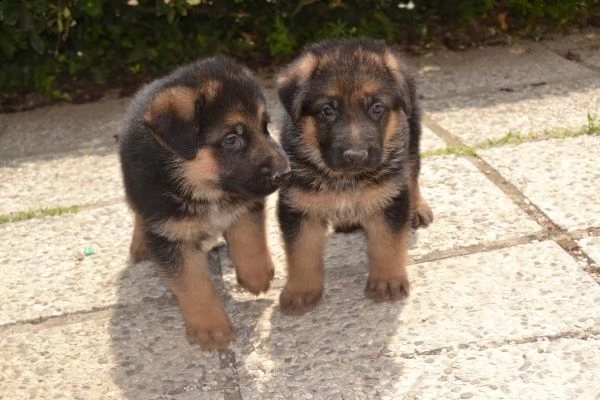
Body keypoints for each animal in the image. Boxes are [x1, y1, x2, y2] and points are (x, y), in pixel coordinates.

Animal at [118, 56, 290, 350]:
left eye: (265, 126)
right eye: (232, 139)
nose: (286, 172)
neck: (203, 188)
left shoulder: (245, 202)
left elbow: (249, 238)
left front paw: (255, 274)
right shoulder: (172, 236)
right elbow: (193, 284)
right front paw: (210, 327)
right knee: (139, 214)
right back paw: (140, 243)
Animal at [274, 39, 434, 314]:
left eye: (376, 107)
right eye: (327, 110)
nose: (356, 156)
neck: (345, 180)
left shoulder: (389, 199)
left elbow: (386, 244)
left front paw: (387, 280)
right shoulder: (297, 207)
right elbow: (301, 253)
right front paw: (300, 291)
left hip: (412, 138)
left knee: (412, 173)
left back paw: (417, 207)